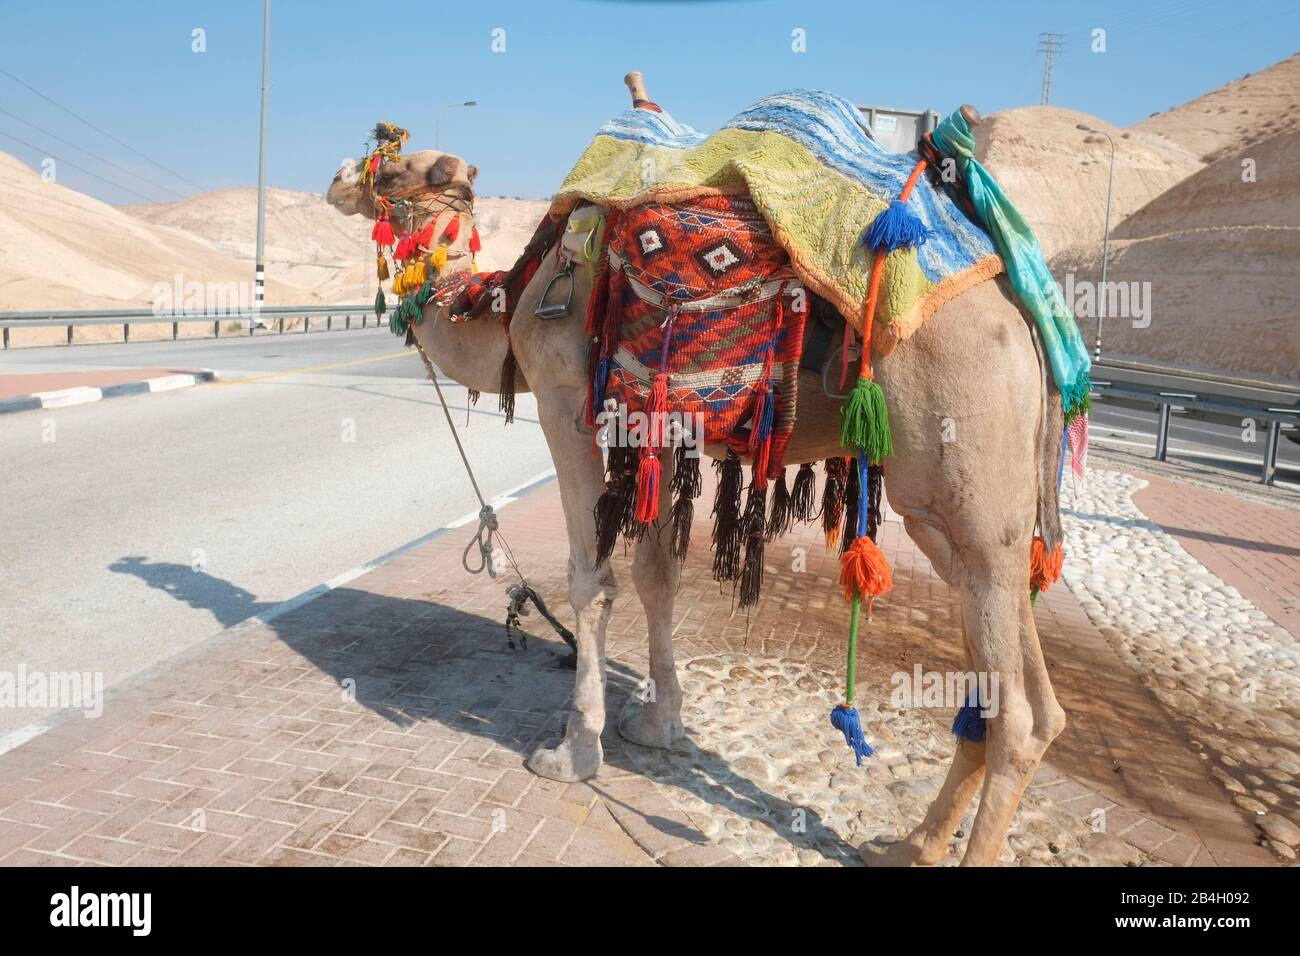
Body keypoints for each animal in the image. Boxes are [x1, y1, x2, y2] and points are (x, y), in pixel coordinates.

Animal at [330, 74, 1071, 868]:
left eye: (393, 168)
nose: (337, 178)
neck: (514, 298)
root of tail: (1027, 310)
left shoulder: (564, 402)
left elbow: (592, 581)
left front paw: (574, 750)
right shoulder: (660, 428)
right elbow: (658, 574)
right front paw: (658, 724)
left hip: (963, 465)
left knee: (1021, 712)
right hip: (955, 509)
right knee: (1013, 691)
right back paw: (910, 844)